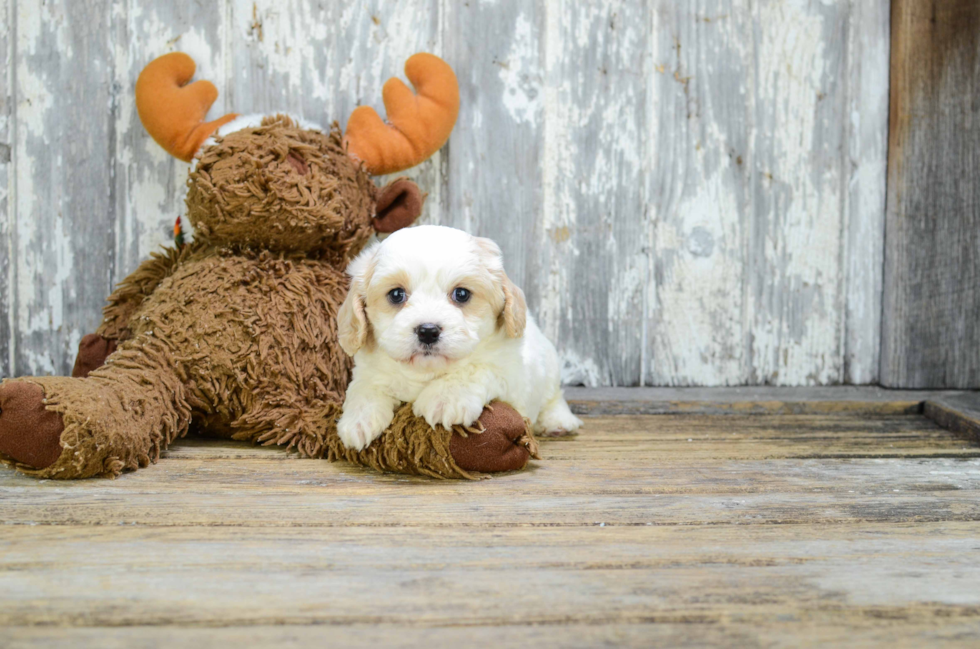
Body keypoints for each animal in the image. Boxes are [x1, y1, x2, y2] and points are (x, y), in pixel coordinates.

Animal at [336, 225, 580, 448]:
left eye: (461, 294)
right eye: (396, 294)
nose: (428, 331)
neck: (427, 373)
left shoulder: (511, 374)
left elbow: (475, 368)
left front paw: (445, 399)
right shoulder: (368, 368)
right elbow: (364, 385)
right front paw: (358, 421)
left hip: (549, 366)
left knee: (553, 397)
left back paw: (558, 422)